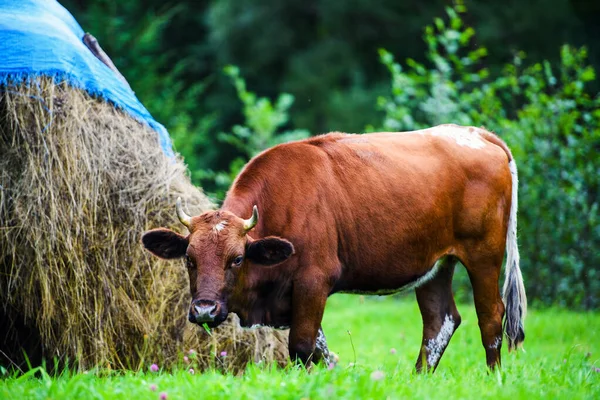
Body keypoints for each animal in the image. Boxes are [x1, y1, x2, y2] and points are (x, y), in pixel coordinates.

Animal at [142, 125, 524, 372]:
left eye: (236, 259)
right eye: (189, 258)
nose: (205, 310)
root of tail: (476, 133)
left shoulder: (314, 282)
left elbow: (302, 346)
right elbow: (320, 351)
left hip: (484, 256)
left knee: (491, 317)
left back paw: (494, 378)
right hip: (435, 265)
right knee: (439, 321)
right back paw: (419, 379)